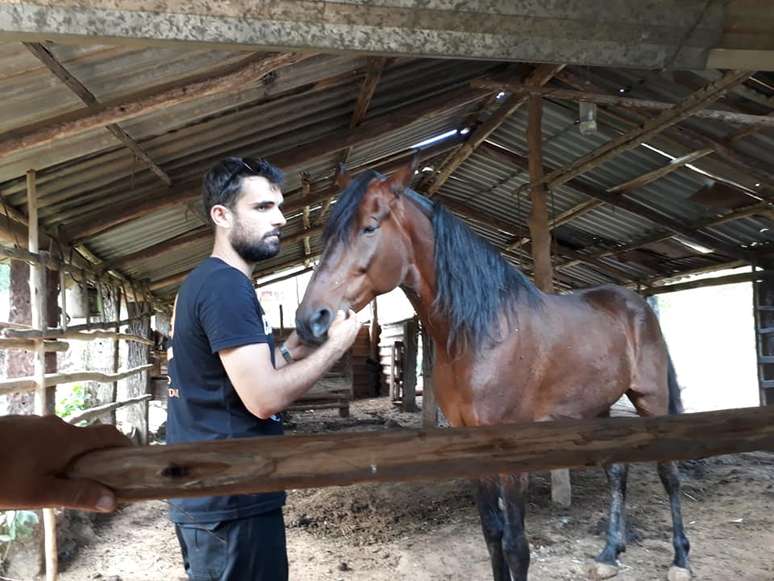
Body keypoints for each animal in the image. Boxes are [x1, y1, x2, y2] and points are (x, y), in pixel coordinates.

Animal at [296, 163, 692, 580]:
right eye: (328, 234)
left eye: (370, 227)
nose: (310, 319)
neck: (482, 335)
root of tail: (638, 303)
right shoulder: (471, 444)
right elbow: (492, 533)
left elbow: (517, 545)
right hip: (596, 406)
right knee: (617, 471)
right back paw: (609, 553)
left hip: (651, 399)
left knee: (669, 473)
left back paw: (680, 559)